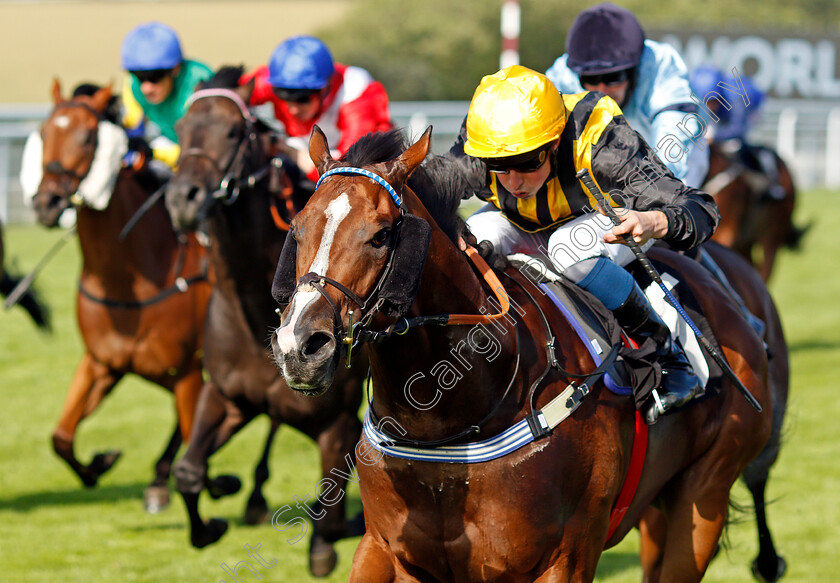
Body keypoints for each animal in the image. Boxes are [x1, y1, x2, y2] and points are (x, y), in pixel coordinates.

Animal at [33, 81, 215, 512]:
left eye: (87, 137)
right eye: (44, 133)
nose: (46, 203)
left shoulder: (186, 371)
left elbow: (192, 437)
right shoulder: (102, 362)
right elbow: (60, 437)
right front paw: (99, 463)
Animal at [166, 67, 366, 576]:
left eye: (234, 132)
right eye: (181, 129)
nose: (182, 199)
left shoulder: (338, 420)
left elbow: (330, 520)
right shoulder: (227, 395)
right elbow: (188, 471)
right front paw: (211, 520)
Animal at [270, 128, 776, 583]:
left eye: (380, 235)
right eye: (297, 227)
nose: (301, 347)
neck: (450, 421)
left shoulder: (564, 558)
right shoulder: (385, 549)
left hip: (705, 494)